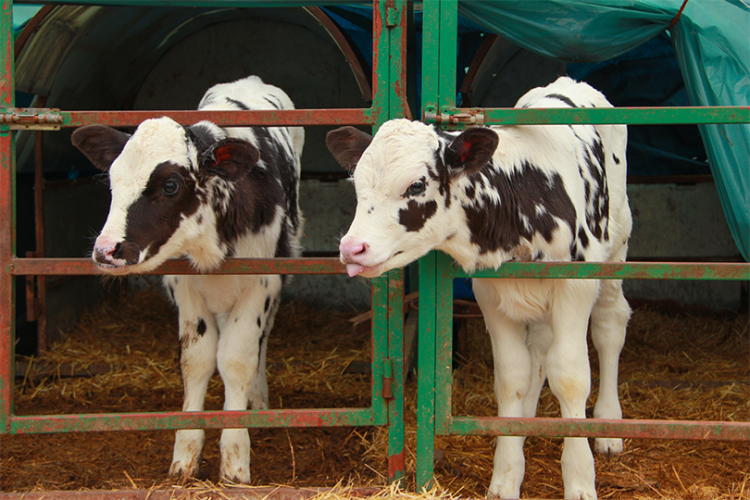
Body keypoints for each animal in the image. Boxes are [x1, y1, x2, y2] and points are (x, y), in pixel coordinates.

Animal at [72, 76, 304, 482]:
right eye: (113, 179)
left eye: (170, 185)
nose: (106, 250)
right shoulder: (185, 288)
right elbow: (196, 359)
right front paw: (185, 453)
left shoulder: (261, 282)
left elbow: (237, 358)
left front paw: (235, 458)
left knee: (259, 341)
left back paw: (257, 400)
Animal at [328, 75, 636, 500]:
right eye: (357, 183)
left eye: (417, 184)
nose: (351, 248)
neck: (521, 198)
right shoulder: (490, 290)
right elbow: (512, 377)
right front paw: (506, 474)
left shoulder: (574, 285)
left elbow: (571, 376)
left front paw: (579, 479)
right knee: (540, 346)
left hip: (615, 246)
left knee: (609, 325)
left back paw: (607, 424)